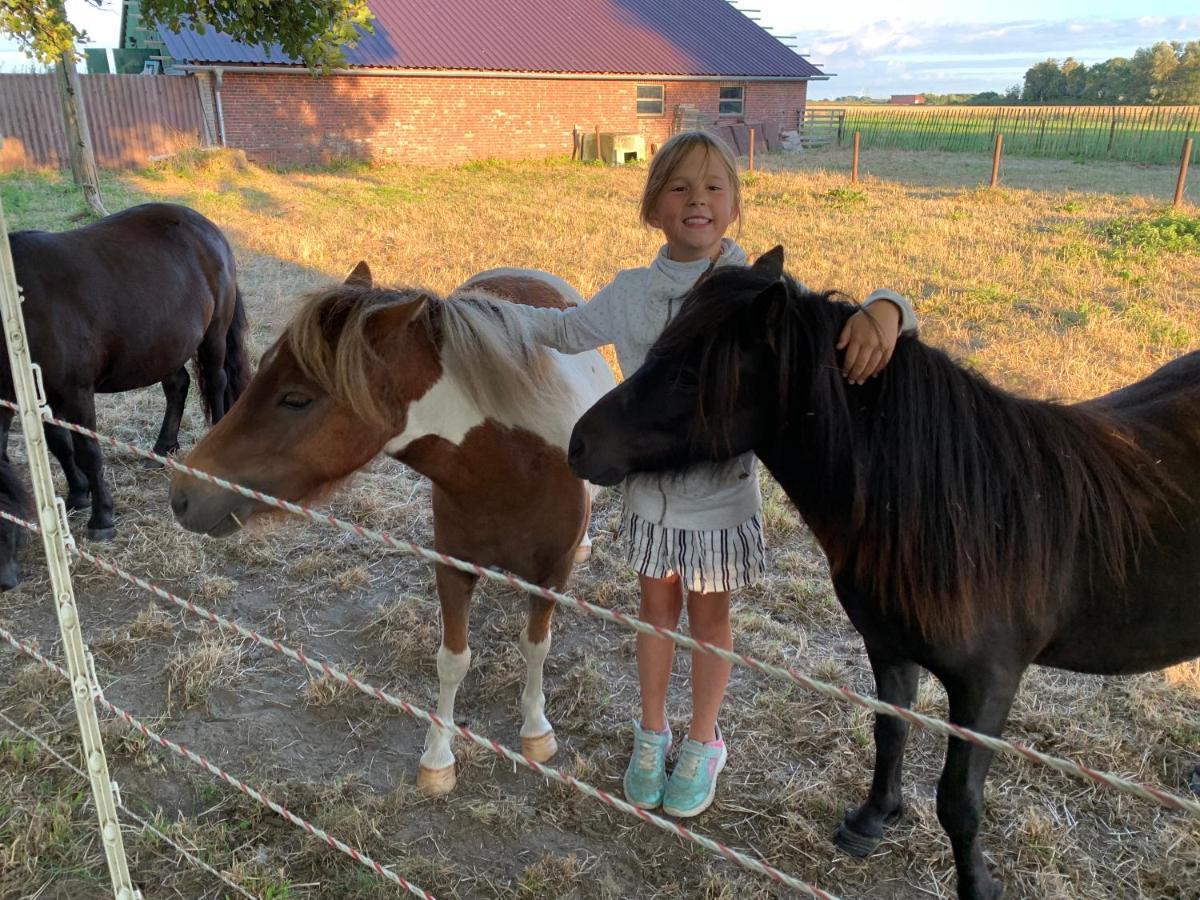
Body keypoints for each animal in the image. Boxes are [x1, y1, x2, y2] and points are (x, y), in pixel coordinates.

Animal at [2, 202, 249, 542]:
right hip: (165, 346)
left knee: (215, 383)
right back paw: (162, 448)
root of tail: (209, 229)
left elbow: (88, 451)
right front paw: (78, 495)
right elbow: (59, 445)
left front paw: (102, 517)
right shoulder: (36, 396)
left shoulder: (75, 392)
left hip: (214, 336)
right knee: (178, 386)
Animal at [170, 262, 614, 796]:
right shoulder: (453, 568)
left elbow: (535, 647)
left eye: (295, 399)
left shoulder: (551, 575)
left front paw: (535, 731)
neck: (516, 466)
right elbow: (453, 659)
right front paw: (439, 757)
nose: (183, 494)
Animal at [564, 247, 1200, 900]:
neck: (962, 513)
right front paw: (874, 817)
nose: (579, 444)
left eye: (691, 376)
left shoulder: (988, 686)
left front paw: (977, 885)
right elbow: (890, 731)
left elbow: (958, 799)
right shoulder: (888, 647)